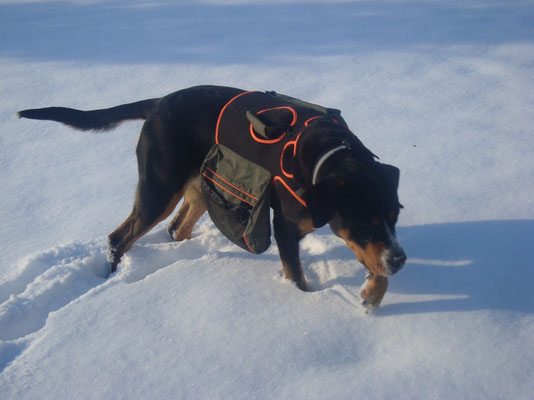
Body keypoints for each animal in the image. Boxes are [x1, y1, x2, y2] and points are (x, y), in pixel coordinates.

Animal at [18, 85, 408, 310]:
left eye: (395, 216)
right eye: (364, 221)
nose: (402, 259)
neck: (328, 153)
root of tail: (158, 103)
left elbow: (377, 264)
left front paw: (372, 295)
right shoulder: (286, 228)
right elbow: (297, 278)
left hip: (205, 184)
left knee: (177, 228)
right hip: (160, 188)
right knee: (119, 237)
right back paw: (110, 278)